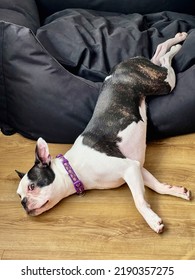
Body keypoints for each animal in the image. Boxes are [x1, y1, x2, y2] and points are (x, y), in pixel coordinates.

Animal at [16, 32, 190, 233]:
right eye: (19, 196)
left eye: (32, 187)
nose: (24, 204)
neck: (73, 169)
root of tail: (119, 66)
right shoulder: (136, 167)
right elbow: (157, 185)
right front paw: (176, 191)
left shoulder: (129, 168)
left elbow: (139, 201)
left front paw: (152, 220)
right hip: (154, 75)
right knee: (158, 52)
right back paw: (177, 40)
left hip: (164, 83)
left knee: (164, 59)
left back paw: (177, 46)